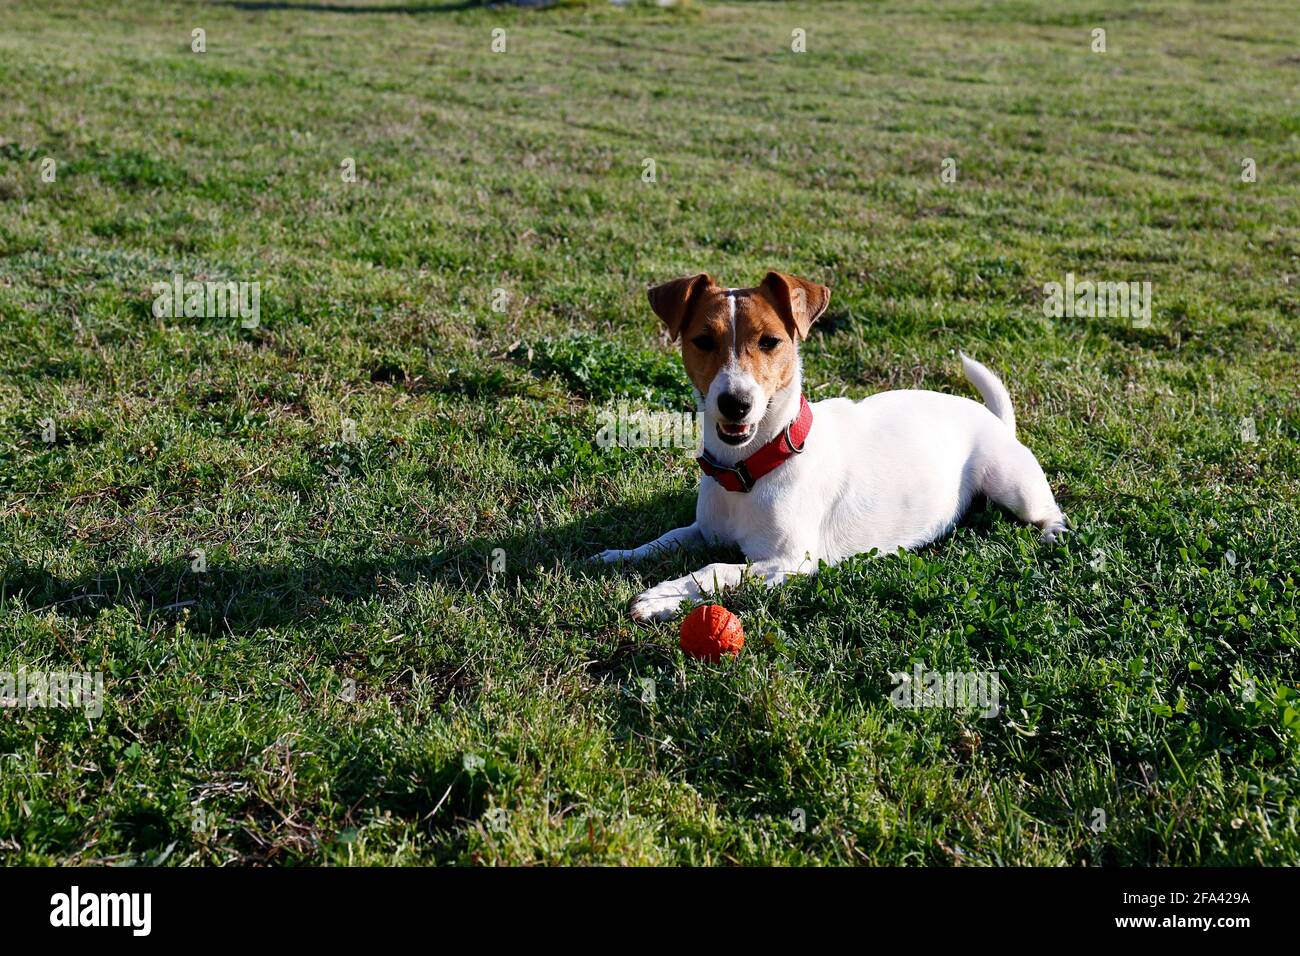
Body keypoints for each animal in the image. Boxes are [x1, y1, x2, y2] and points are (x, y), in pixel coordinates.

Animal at [595, 273, 1066, 624]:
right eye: (703, 341)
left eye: (769, 342)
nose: (735, 402)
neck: (751, 466)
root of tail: (995, 420)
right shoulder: (703, 530)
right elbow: (667, 539)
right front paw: (619, 554)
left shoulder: (788, 561)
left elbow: (716, 570)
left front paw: (660, 598)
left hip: (1013, 486)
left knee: (1048, 511)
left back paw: (1053, 534)